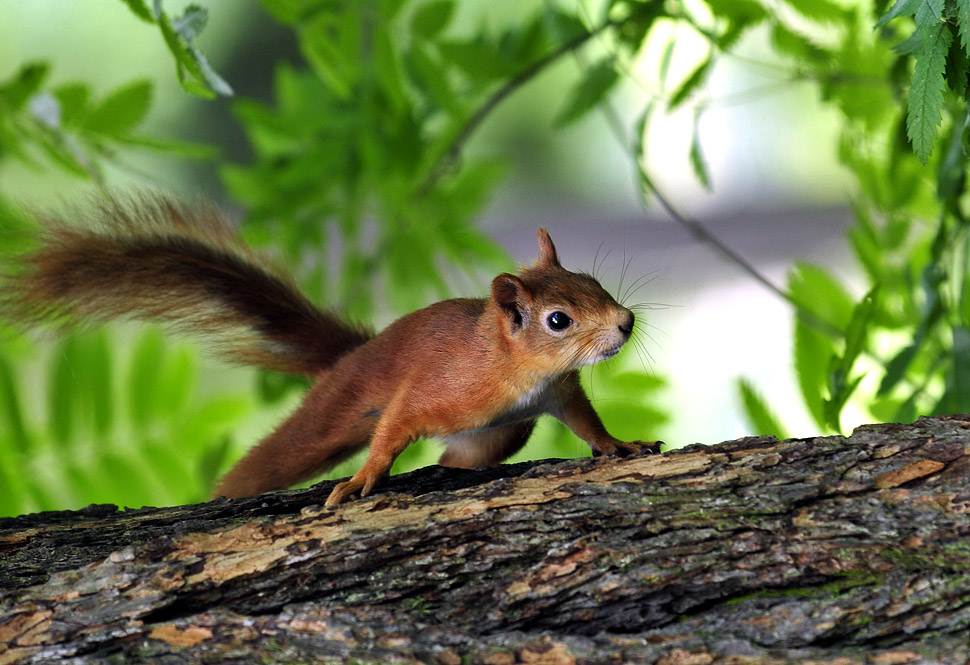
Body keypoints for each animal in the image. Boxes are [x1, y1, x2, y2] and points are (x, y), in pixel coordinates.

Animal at [1, 195, 656, 506]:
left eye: (593, 283)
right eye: (557, 320)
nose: (625, 323)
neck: (519, 369)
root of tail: (358, 353)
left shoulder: (559, 393)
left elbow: (588, 424)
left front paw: (621, 445)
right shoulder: (444, 391)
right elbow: (396, 426)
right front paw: (364, 478)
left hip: (498, 435)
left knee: (463, 456)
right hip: (331, 414)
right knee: (273, 460)